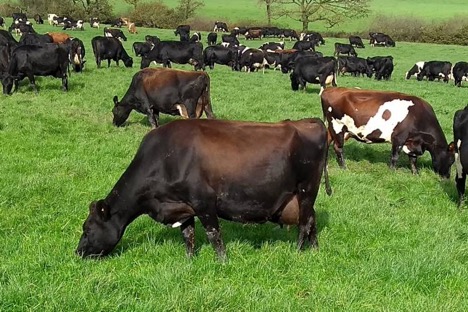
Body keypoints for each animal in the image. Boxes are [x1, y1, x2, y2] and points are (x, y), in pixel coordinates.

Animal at [76, 116, 330, 258]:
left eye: (87, 229)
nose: (78, 252)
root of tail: (310, 122)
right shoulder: (182, 205)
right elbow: (188, 235)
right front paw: (189, 261)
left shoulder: (204, 201)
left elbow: (213, 235)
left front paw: (222, 261)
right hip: (302, 197)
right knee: (311, 220)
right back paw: (315, 251)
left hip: (307, 189)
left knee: (304, 223)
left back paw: (298, 252)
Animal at [320, 86, 456, 177]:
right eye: (451, 161)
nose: (447, 177)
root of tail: (330, 89)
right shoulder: (399, 138)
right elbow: (395, 156)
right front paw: (392, 172)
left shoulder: (412, 142)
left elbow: (413, 159)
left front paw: (415, 173)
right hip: (337, 126)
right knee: (338, 148)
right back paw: (344, 167)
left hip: (336, 129)